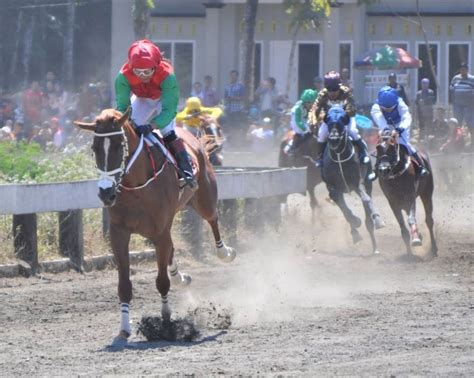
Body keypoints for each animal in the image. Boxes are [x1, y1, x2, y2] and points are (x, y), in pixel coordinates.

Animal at [75, 109, 236, 346]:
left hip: (204, 198)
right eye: (95, 148)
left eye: (118, 146)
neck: (136, 185)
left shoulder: (160, 230)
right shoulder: (119, 233)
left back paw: (225, 253)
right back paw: (181, 277)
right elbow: (124, 285)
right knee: (171, 250)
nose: (106, 192)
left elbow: (161, 282)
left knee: (213, 219)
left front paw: (166, 323)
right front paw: (124, 330)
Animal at [322, 105, 386, 254]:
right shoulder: (332, 187)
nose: (333, 139)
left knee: (368, 200)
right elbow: (343, 207)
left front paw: (376, 221)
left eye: (341, 122)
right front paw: (355, 226)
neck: (339, 156)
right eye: (329, 123)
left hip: (367, 182)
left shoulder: (358, 183)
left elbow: (366, 200)